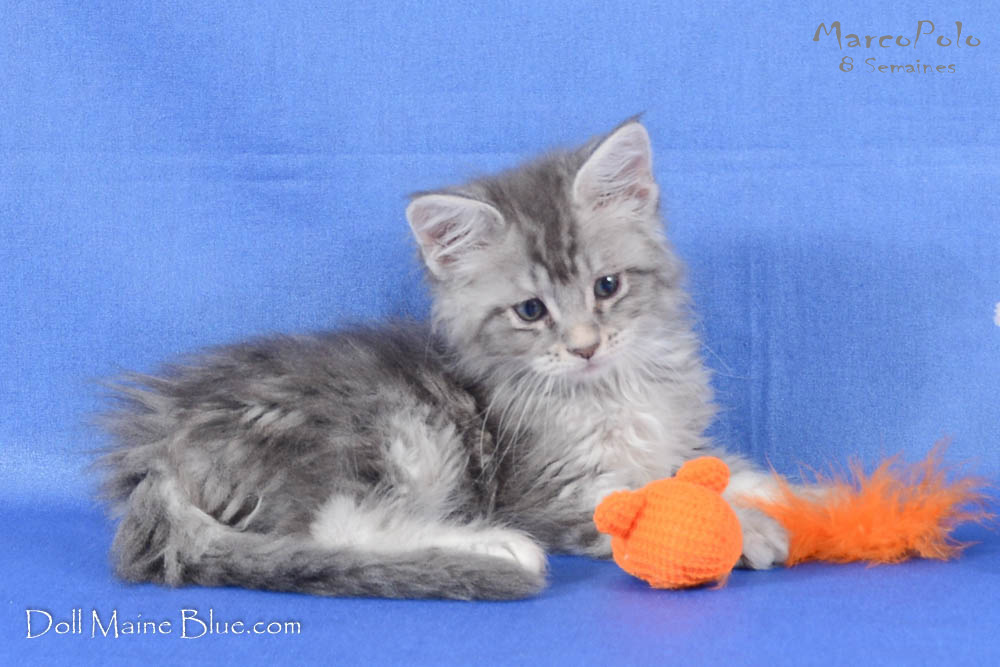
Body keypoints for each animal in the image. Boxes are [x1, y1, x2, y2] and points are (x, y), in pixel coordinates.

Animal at [97, 119, 788, 600]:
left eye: (608, 286)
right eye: (531, 311)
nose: (586, 346)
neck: (610, 390)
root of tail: (157, 450)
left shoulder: (672, 436)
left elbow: (708, 469)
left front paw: (783, 494)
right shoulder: (548, 488)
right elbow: (640, 500)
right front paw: (742, 528)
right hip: (386, 429)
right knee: (330, 526)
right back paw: (492, 549)